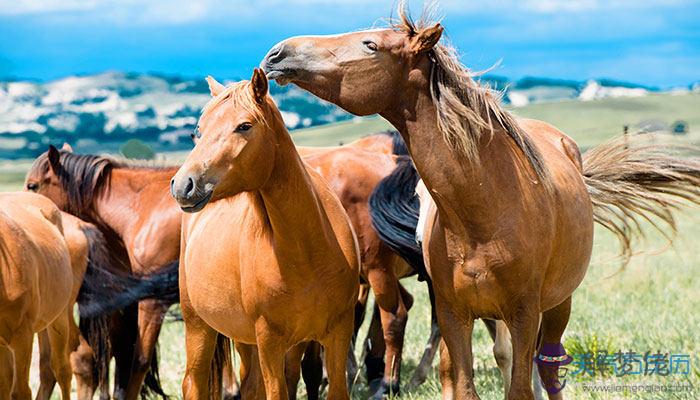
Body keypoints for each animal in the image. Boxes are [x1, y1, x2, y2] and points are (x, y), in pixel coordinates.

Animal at [168, 69, 360, 400]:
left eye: (244, 126)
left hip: (246, 340)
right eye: (199, 131)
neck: (307, 252)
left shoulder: (338, 332)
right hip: (198, 325)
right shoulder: (270, 340)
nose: (183, 185)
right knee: (193, 382)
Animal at [262, 3, 700, 400]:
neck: (484, 210)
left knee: (547, 367)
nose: (277, 53)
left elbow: (520, 387)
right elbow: (463, 383)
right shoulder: (455, 315)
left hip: (558, 304)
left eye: (370, 45)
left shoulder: (523, 314)